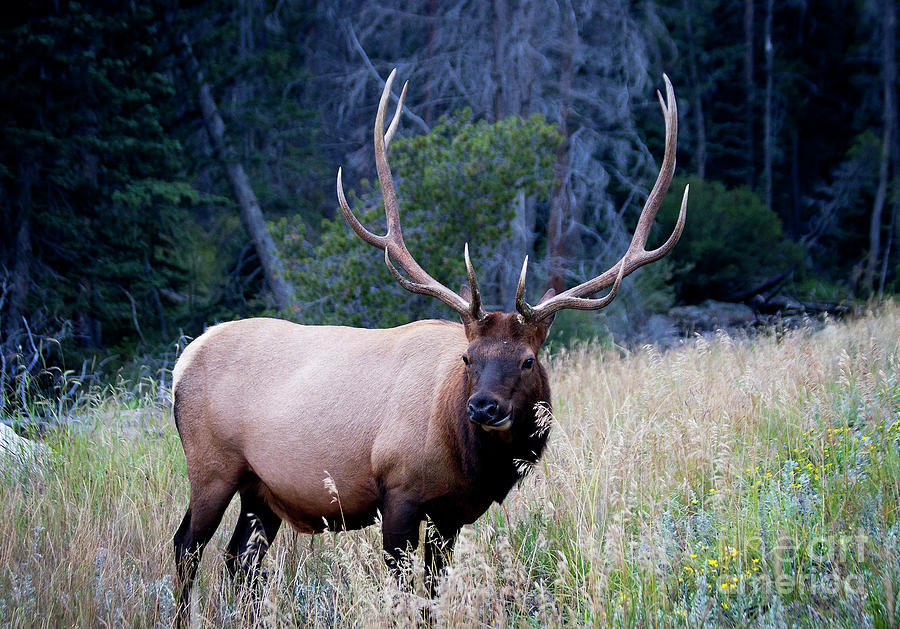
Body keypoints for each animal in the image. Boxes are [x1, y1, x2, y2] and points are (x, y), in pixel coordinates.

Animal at [171, 70, 688, 624]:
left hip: (261, 488)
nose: (484, 407)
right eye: (468, 357)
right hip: (211, 464)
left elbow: (433, 596)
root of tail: (181, 363)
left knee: (239, 561)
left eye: (527, 360)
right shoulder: (398, 493)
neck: (464, 458)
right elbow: (402, 594)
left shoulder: (451, 513)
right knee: (187, 547)